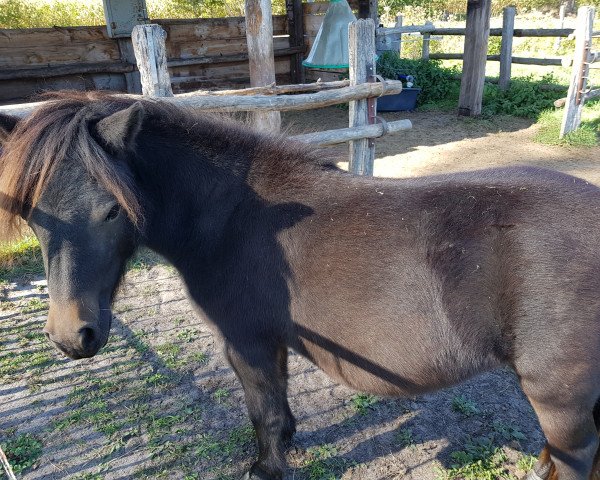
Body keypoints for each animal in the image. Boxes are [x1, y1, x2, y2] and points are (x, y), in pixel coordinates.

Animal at [1, 91, 600, 480]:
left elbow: (263, 412)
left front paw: (266, 468)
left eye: (111, 210)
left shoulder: (246, 342)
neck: (233, 217)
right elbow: (279, 407)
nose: (71, 336)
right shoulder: (274, 342)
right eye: (31, 215)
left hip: (558, 395)